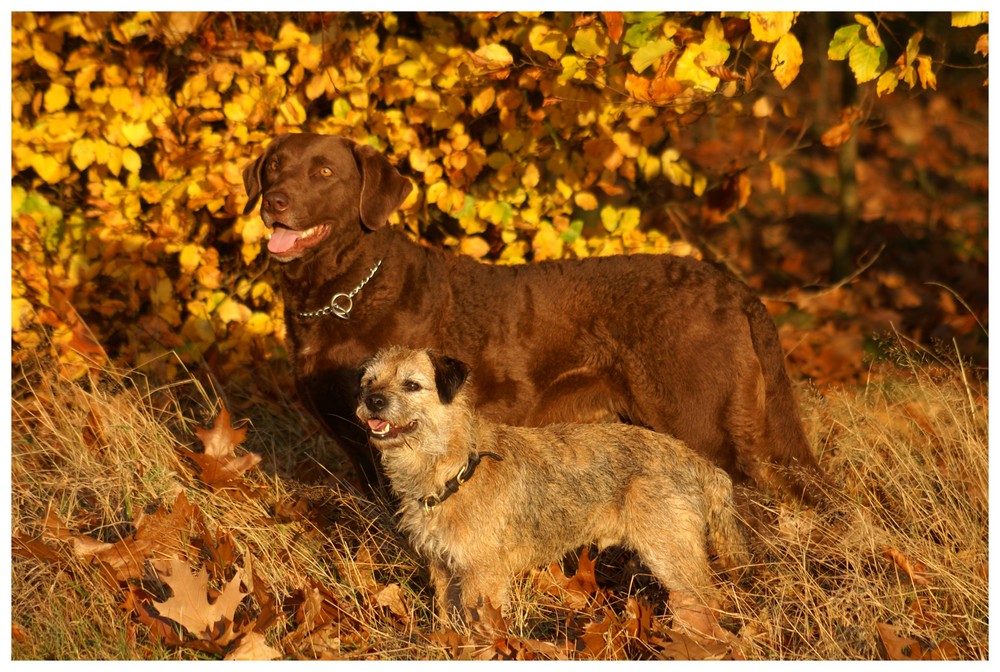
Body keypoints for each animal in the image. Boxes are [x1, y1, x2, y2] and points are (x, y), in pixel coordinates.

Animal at [244, 131, 828, 502]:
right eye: (274, 166)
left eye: (324, 172)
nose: (275, 200)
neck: (345, 290)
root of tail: (735, 287)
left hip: (703, 420)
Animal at [356, 346, 748, 636]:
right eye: (369, 382)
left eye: (411, 385)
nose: (373, 400)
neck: (454, 468)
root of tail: (698, 461)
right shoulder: (444, 569)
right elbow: (450, 620)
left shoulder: (482, 577)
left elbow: (484, 632)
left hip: (671, 555)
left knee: (706, 602)